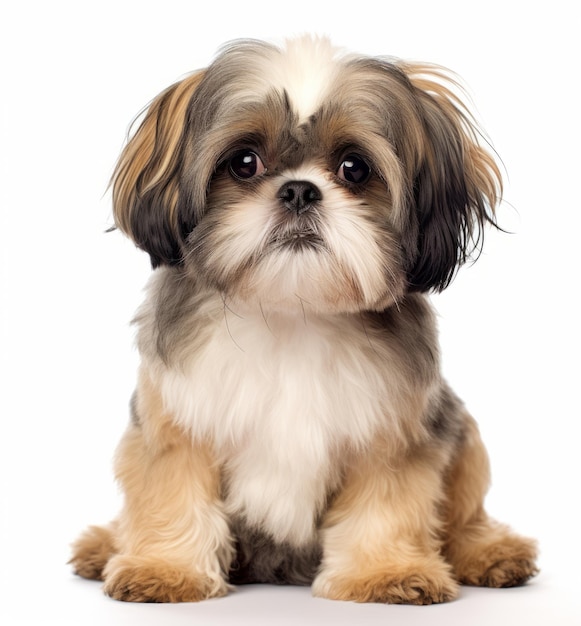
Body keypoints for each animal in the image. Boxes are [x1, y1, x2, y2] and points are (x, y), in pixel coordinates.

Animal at [70, 36, 536, 604]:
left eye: (354, 168)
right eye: (244, 162)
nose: (298, 190)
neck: (293, 311)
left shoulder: (393, 437)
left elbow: (387, 506)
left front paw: (384, 572)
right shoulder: (176, 425)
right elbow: (172, 495)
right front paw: (166, 567)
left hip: (464, 439)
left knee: (465, 518)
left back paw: (490, 552)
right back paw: (105, 544)